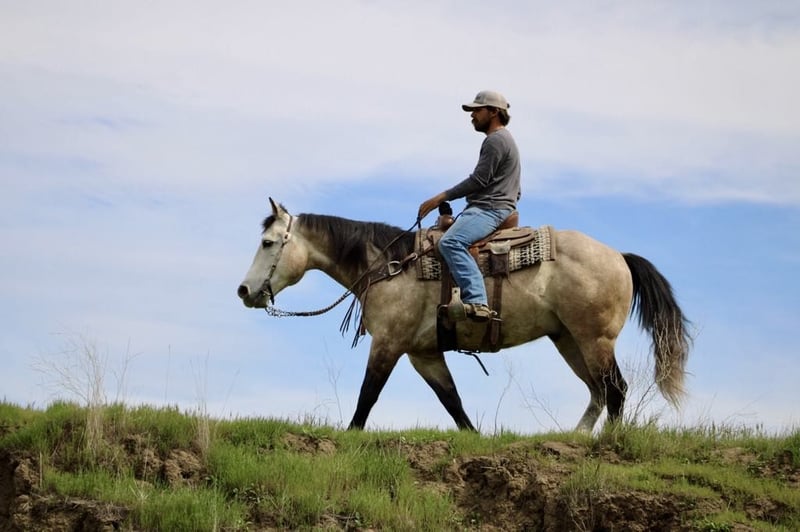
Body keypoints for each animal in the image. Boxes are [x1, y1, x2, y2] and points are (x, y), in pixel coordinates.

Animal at [237, 199, 691, 433]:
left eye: (267, 242)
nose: (244, 291)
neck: (390, 265)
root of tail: (619, 257)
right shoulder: (423, 354)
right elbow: (451, 400)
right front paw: (474, 437)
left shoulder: (388, 344)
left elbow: (368, 394)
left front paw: (350, 436)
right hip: (569, 340)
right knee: (598, 392)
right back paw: (576, 438)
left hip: (594, 339)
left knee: (616, 390)